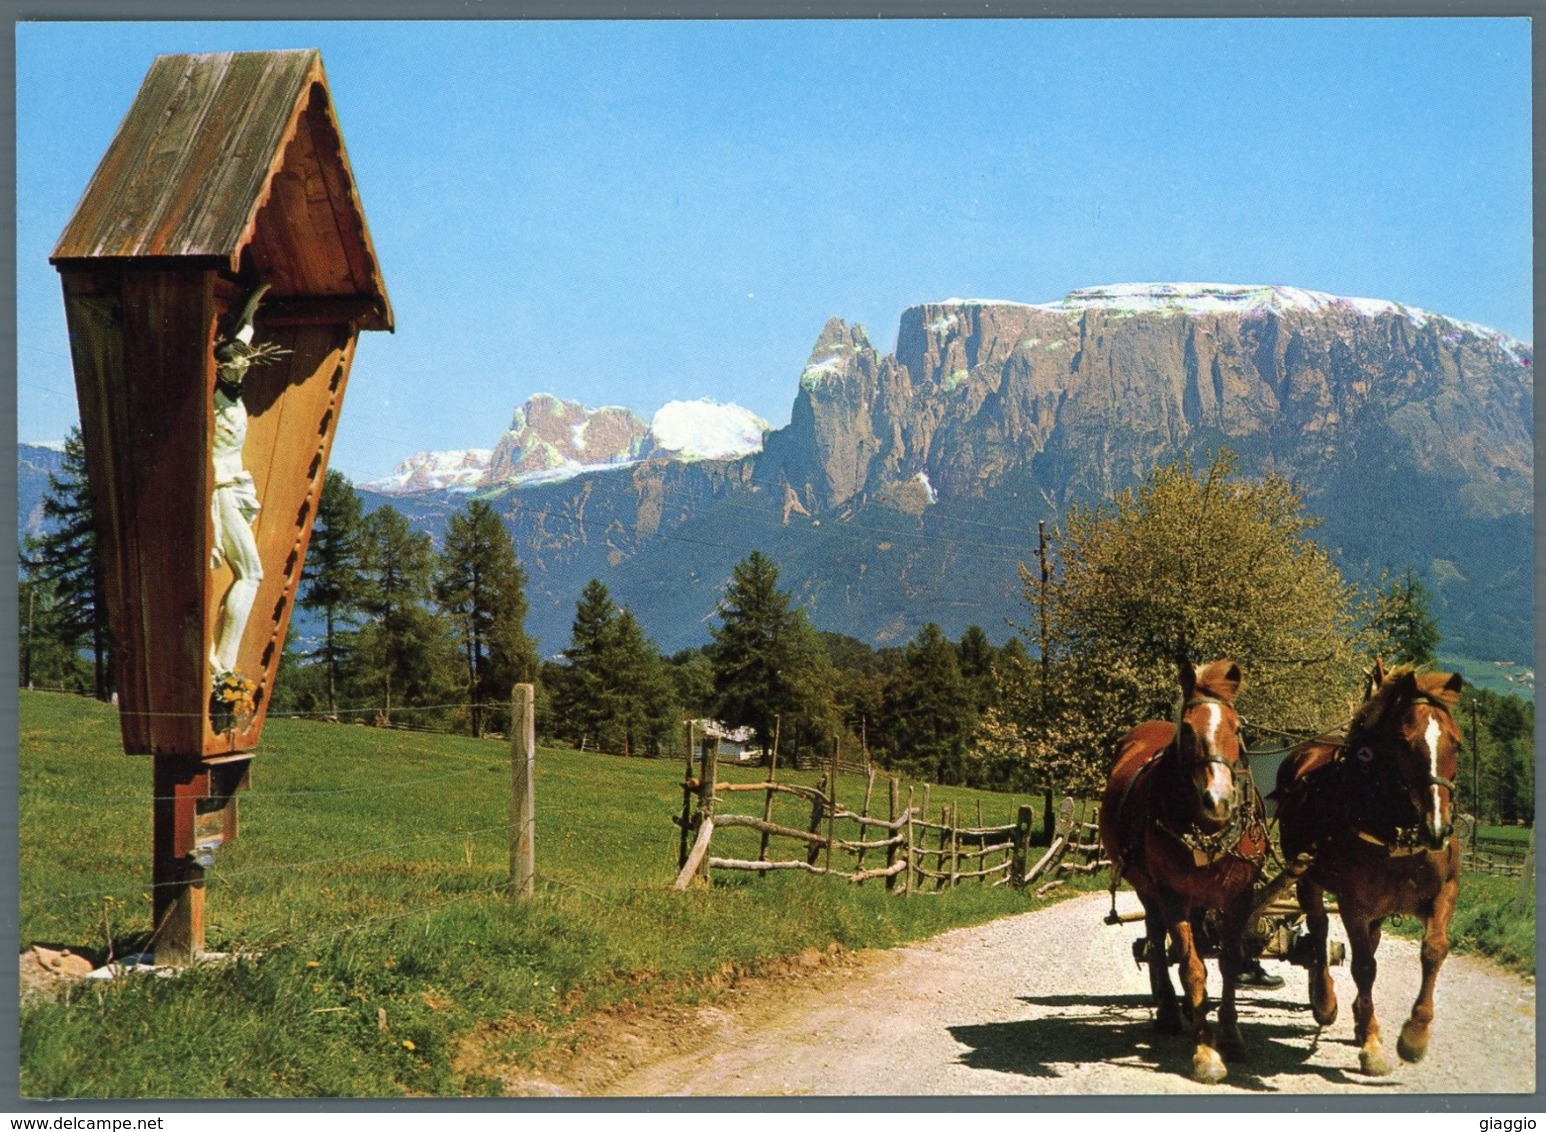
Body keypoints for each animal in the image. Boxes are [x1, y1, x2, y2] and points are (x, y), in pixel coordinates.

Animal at [1094, 658, 1261, 1082]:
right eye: (1187, 729)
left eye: (1238, 728)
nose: (1218, 800)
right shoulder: (1172, 896)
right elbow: (1192, 968)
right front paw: (1206, 1052)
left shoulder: (1239, 896)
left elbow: (1229, 963)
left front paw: (1231, 1036)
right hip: (1147, 888)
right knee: (1156, 941)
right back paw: (1171, 1011)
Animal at [1267, 661, 1459, 1076]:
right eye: (1404, 742)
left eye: (1456, 743)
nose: (1437, 828)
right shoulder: (1354, 904)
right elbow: (1364, 967)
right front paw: (1371, 1044)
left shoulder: (1443, 892)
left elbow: (1434, 950)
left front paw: (1414, 1036)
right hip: (1306, 877)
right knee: (1319, 929)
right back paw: (1324, 999)